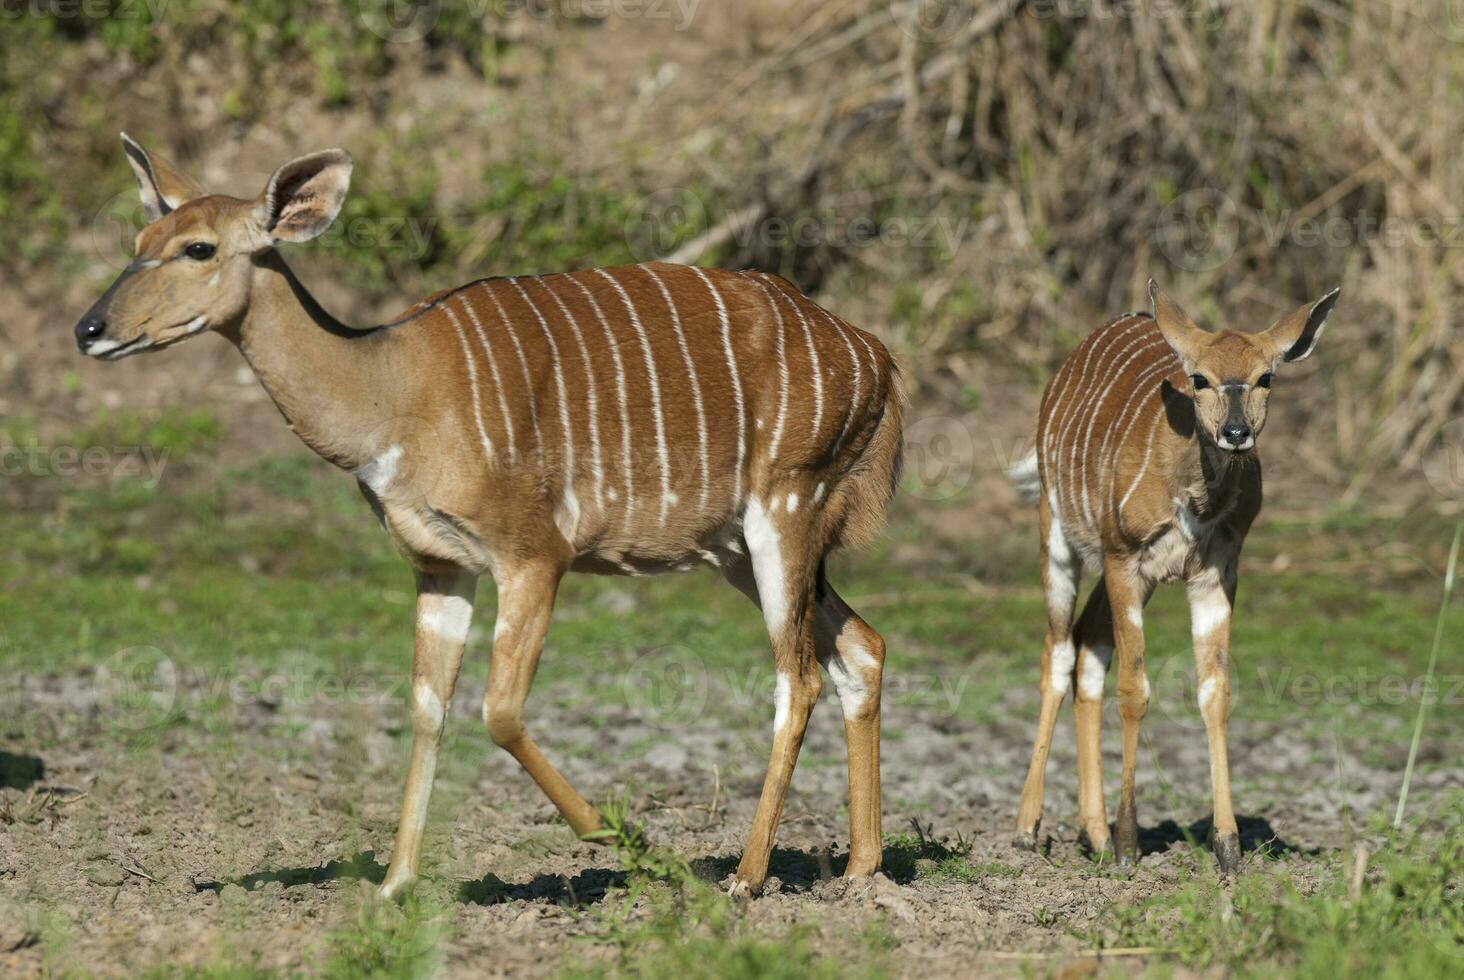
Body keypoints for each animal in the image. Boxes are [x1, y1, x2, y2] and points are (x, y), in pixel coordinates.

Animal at [80, 137, 907, 896]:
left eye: (198, 247)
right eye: (139, 242)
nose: (89, 330)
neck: (394, 390)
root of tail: (875, 357)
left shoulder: (534, 554)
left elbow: (499, 710)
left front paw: (626, 840)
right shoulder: (440, 566)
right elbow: (427, 709)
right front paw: (394, 887)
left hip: (785, 509)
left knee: (796, 677)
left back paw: (746, 876)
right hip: (735, 547)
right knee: (861, 648)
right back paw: (862, 869)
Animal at [1007, 278, 1341, 867]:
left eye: (1266, 377)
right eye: (1200, 378)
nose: (1236, 432)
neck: (1194, 496)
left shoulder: (1214, 574)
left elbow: (1215, 694)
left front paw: (1228, 847)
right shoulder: (1126, 559)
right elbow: (1135, 691)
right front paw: (1128, 844)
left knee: (1088, 647)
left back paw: (1092, 835)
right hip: (1059, 535)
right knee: (1059, 650)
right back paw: (1029, 830)